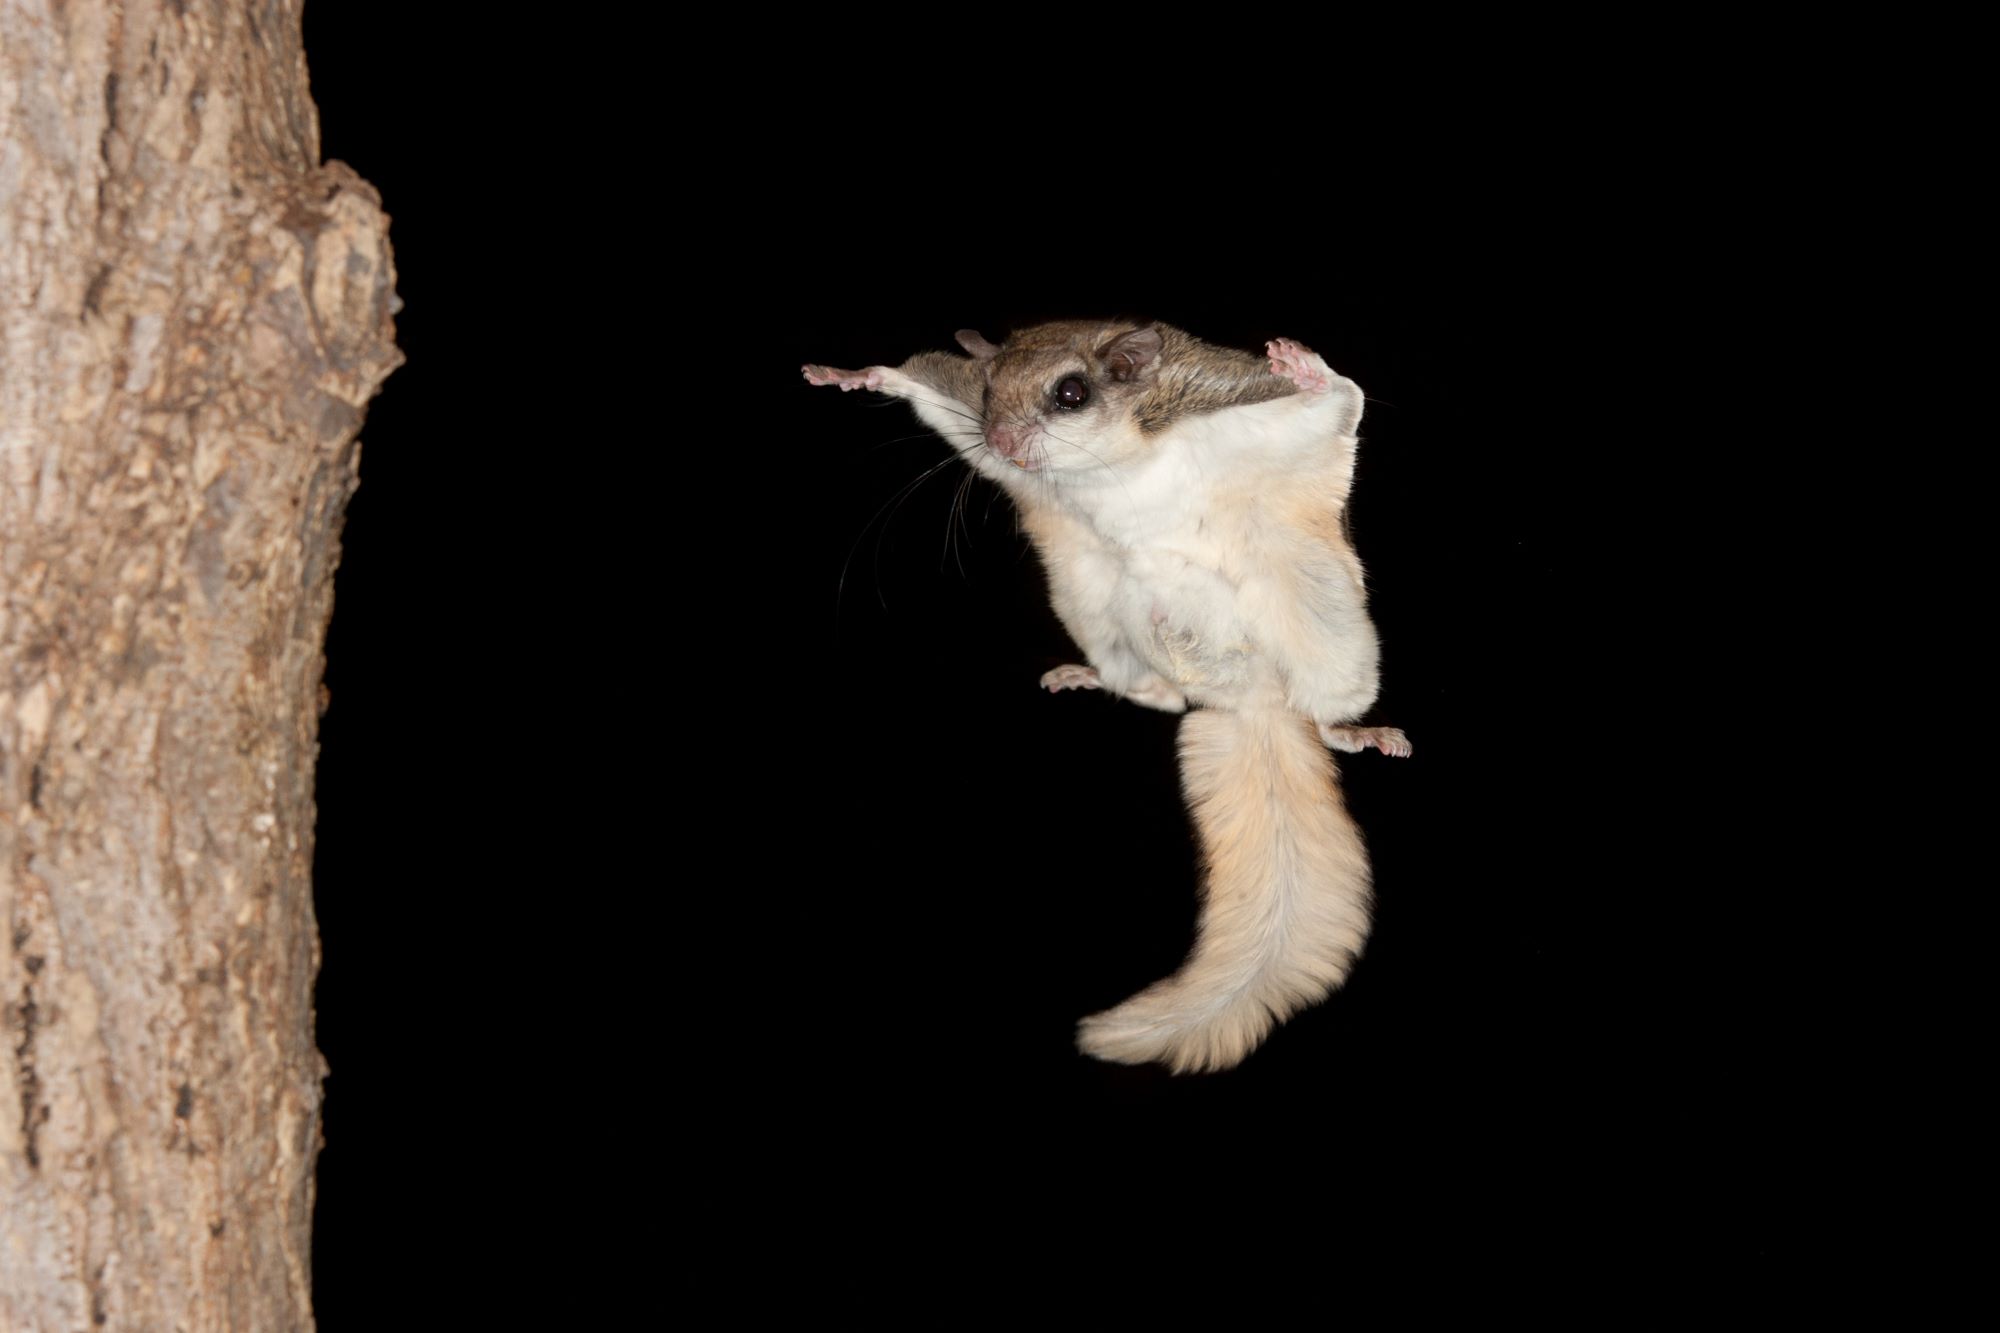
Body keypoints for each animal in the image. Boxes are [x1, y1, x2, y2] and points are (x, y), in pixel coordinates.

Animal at [804, 320, 1408, 1073]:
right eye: (990, 388)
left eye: (1071, 392)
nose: (1001, 444)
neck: (1109, 461)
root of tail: (1250, 704)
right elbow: (927, 384)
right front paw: (856, 374)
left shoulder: (1234, 405)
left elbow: (1340, 402)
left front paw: (1306, 366)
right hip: (1095, 603)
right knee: (1159, 698)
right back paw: (1099, 679)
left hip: (1323, 621)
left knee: (1321, 706)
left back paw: (1350, 730)